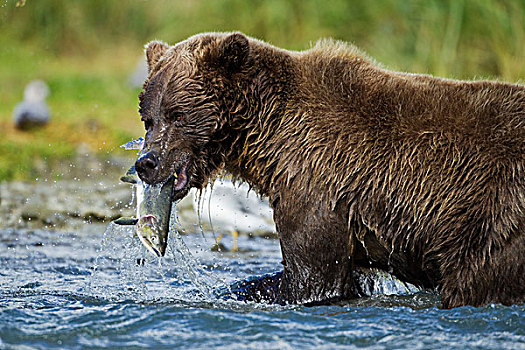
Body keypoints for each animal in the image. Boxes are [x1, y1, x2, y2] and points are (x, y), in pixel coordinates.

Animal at [133, 31, 520, 308]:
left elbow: (312, 275)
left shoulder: (318, 183)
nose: (146, 162)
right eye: (148, 118)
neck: (269, 134)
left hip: (489, 221)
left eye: (178, 114)